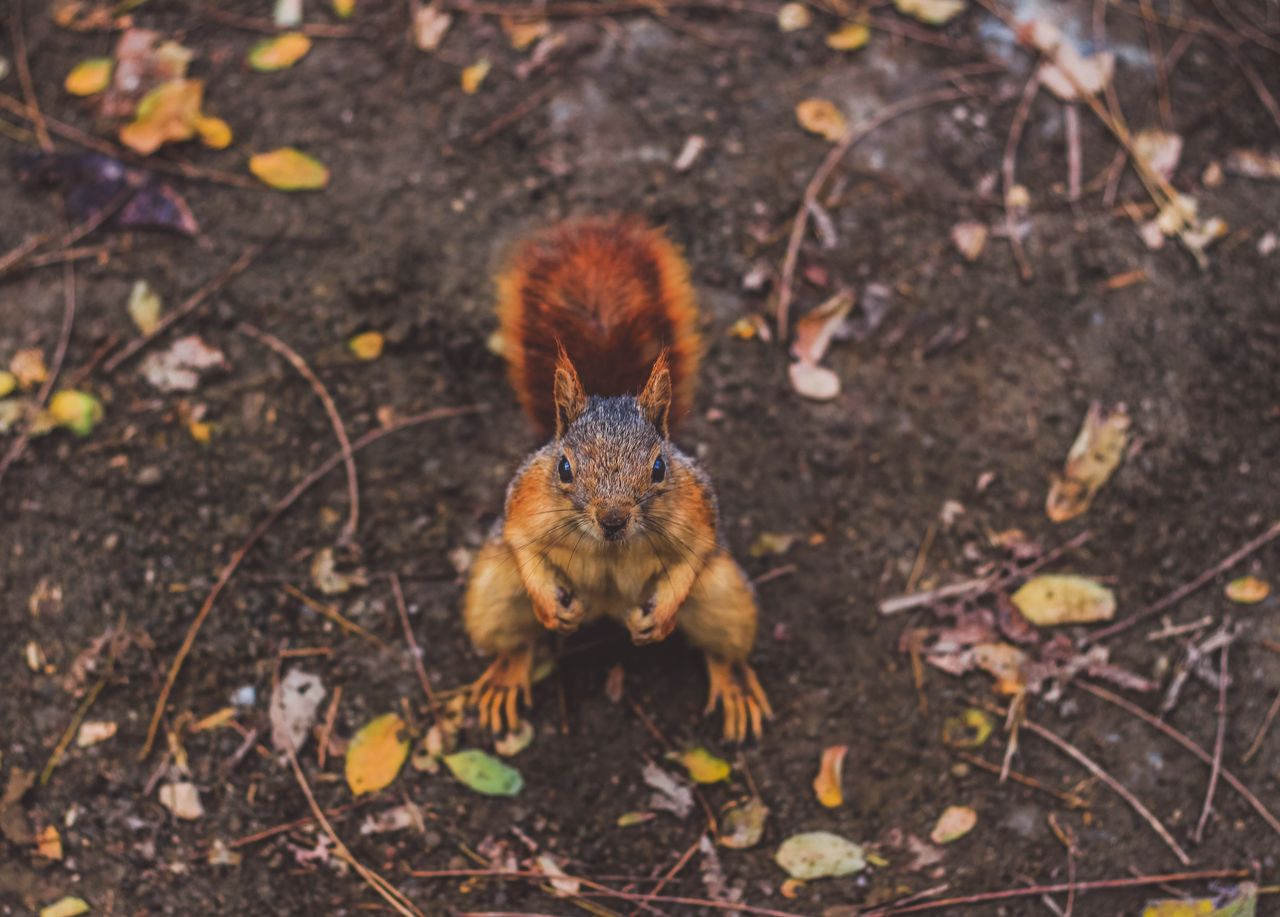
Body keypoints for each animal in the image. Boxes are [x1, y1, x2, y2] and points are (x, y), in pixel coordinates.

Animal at [462, 214, 773, 742]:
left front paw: (662, 616)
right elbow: (522, 542)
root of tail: (605, 611)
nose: (612, 519)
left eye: (659, 467)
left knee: (722, 644)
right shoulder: (524, 502)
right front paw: (548, 605)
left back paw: (734, 685)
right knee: (514, 636)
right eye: (564, 467)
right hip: (494, 592)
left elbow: (695, 554)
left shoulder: (699, 511)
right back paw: (506, 673)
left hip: (725, 597)